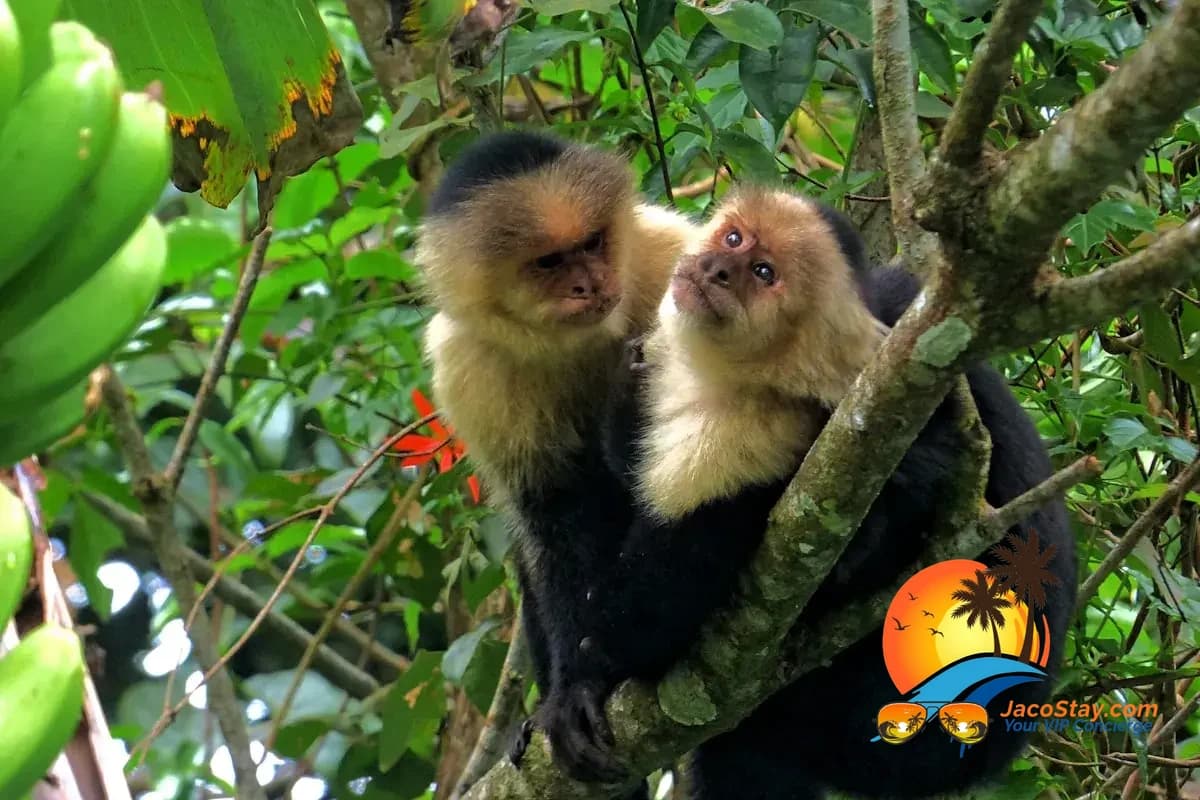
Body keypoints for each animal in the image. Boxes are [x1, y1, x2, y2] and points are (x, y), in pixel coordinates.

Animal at [414, 130, 697, 785]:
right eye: (549, 262)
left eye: (591, 244)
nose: (589, 283)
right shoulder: (467, 369)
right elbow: (555, 518)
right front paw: (571, 693)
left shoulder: (668, 258)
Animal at [539, 187, 1075, 799]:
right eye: (734, 238)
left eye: (764, 273)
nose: (718, 269)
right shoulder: (901, 305)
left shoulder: (746, 435)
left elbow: (641, 624)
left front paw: (590, 670)